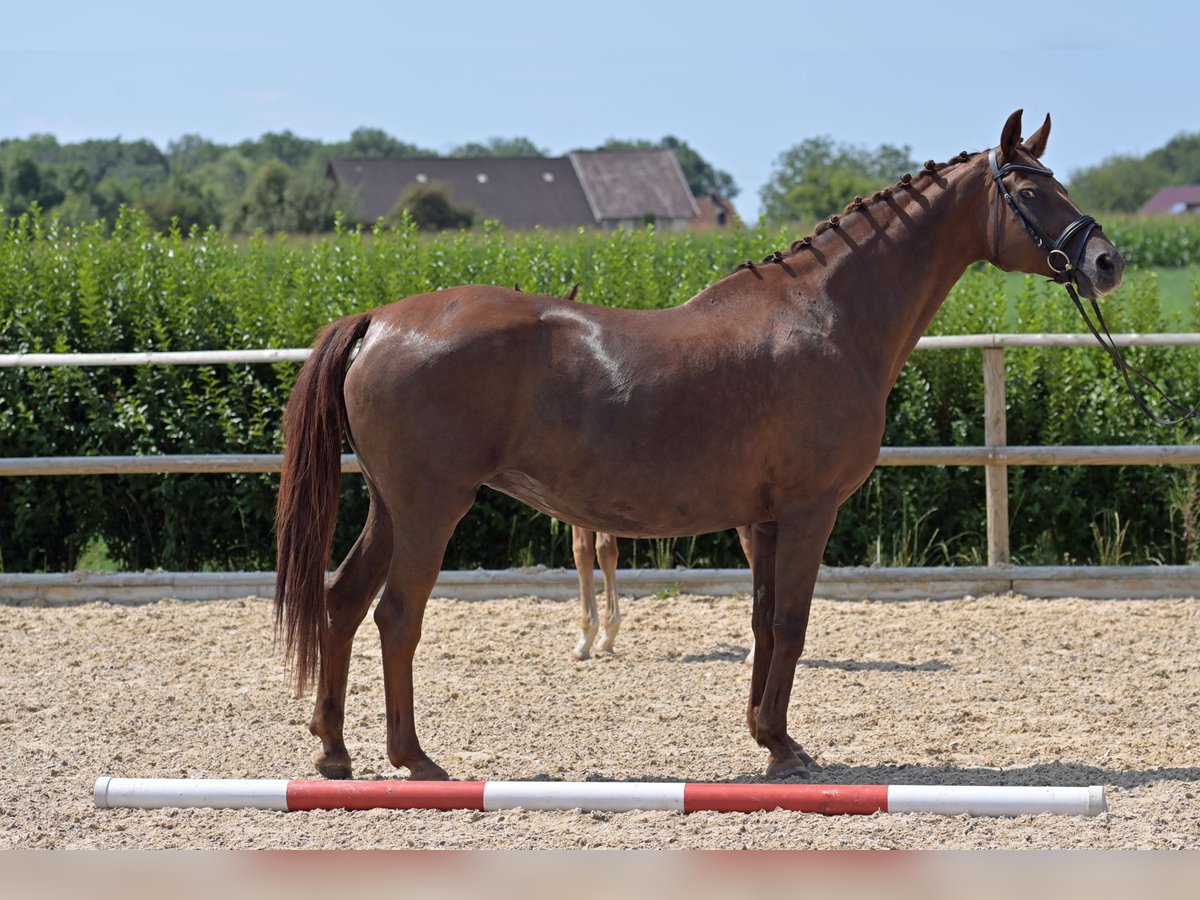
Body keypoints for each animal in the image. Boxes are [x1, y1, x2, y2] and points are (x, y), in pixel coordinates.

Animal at [274, 109, 1123, 777]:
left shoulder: (764, 519)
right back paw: (412, 757)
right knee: (396, 615)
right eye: (1029, 192)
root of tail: (381, 320)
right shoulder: (810, 511)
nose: (1106, 260)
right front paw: (785, 748)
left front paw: (766, 736)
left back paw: (334, 751)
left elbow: (764, 623)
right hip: (429, 507)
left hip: (391, 506)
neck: (827, 318)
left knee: (342, 601)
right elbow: (792, 624)